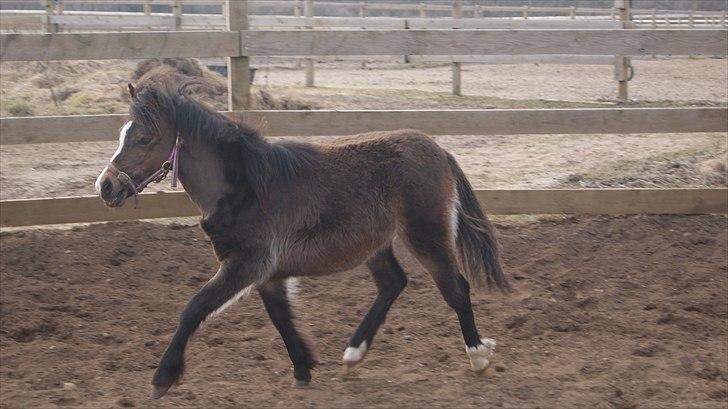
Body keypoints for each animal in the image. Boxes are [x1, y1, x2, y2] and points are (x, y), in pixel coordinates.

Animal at [95, 71, 506, 398]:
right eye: (122, 134)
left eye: (145, 138)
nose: (106, 186)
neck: (245, 187)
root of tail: (439, 150)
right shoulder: (267, 274)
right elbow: (281, 317)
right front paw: (304, 367)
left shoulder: (245, 265)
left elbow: (193, 308)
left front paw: (162, 378)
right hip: (377, 245)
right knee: (393, 283)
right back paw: (353, 354)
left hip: (427, 235)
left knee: (455, 288)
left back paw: (478, 356)